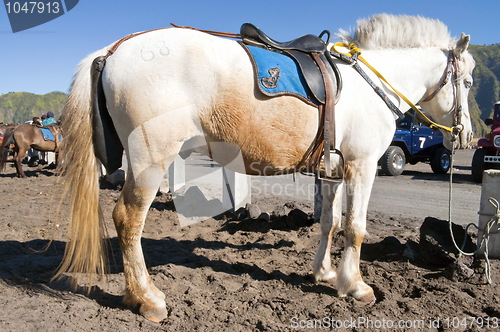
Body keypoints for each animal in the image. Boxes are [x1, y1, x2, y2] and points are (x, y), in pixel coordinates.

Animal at [56, 14, 474, 322]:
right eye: (468, 81)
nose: (465, 135)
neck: (367, 83)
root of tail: (113, 49)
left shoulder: (334, 171)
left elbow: (330, 222)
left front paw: (324, 273)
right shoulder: (363, 165)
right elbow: (355, 228)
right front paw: (355, 286)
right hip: (149, 160)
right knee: (128, 219)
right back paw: (146, 298)